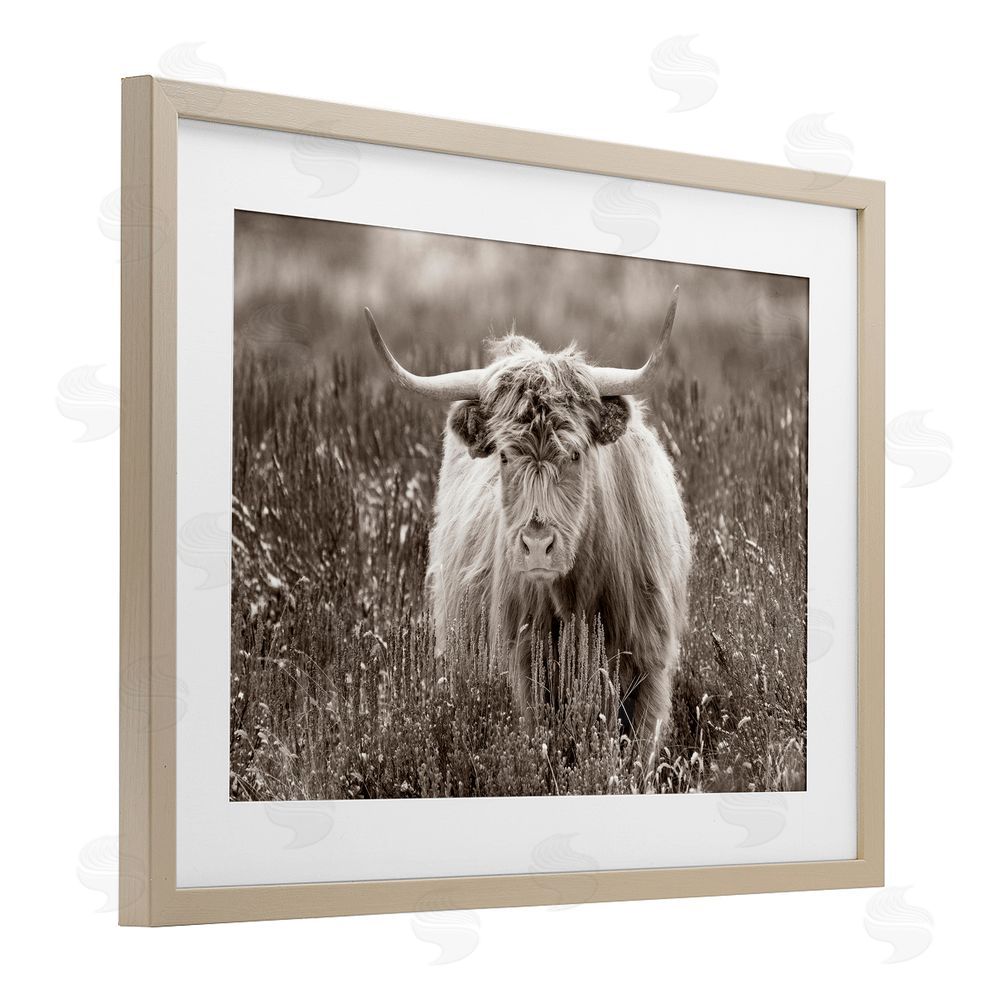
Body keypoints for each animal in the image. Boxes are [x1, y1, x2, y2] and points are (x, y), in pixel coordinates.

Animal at [364, 286, 690, 738]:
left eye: (575, 453)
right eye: (504, 455)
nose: (537, 545)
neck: (578, 599)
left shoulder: (649, 669)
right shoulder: (525, 670)